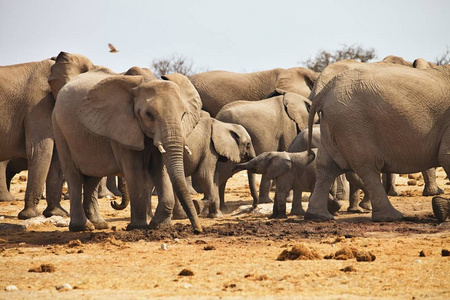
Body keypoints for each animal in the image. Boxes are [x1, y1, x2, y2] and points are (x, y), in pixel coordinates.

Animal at [49, 51, 202, 232]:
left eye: (184, 114)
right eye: (149, 115)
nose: (198, 229)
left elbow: (160, 168)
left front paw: (159, 225)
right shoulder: (121, 126)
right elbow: (133, 170)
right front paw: (138, 227)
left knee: (93, 176)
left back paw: (99, 224)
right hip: (59, 129)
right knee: (74, 175)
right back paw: (82, 227)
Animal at [304, 61, 450, 221]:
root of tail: (324, 93)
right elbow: (446, 156)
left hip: (334, 125)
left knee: (326, 166)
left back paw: (318, 216)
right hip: (353, 124)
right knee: (368, 167)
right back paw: (391, 217)